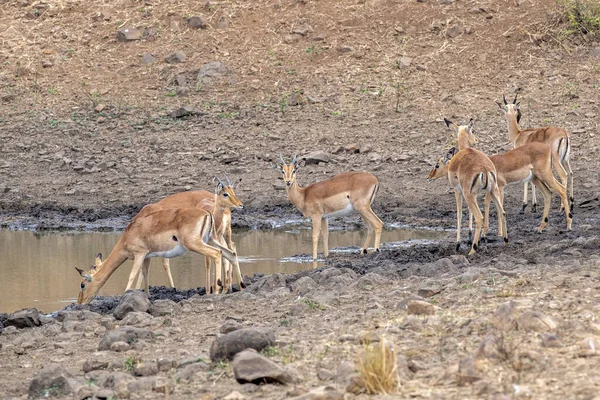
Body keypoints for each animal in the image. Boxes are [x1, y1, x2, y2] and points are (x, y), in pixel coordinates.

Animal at [77, 208, 239, 304]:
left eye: (82, 284)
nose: (80, 302)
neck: (129, 235)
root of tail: (206, 213)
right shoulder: (147, 256)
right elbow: (145, 274)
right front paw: (147, 297)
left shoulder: (139, 254)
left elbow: (132, 275)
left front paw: (124, 297)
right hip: (211, 239)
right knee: (230, 253)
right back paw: (231, 289)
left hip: (196, 244)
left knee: (216, 254)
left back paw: (216, 291)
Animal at [426, 119, 506, 256]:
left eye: (437, 165)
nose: (429, 176)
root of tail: (484, 168)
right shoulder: (471, 193)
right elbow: (469, 212)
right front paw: (469, 238)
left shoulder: (458, 191)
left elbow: (459, 214)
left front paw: (459, 244)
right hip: (492, 191)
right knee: (502, 212)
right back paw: (505, 240)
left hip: (470, 195)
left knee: (479, 217)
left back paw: (473, 249)